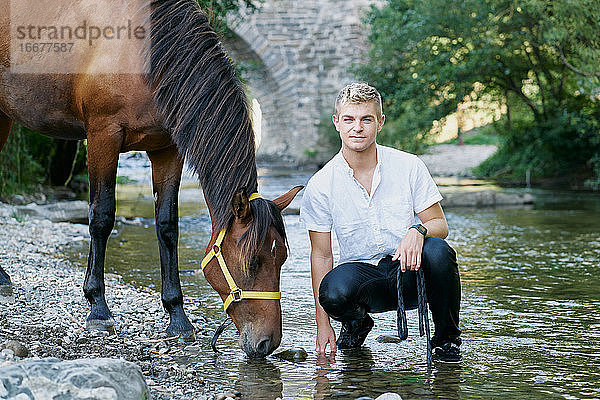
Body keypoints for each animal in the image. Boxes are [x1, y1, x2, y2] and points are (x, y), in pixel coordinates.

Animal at [0, 0, 300, 356]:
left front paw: (178, 317)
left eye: (282, 258)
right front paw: (98, 308)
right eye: (253, 262)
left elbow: (167, 225)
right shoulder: (102, 136)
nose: (267, 342)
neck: (145, 52)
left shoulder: (167, 148)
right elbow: (102, 216)